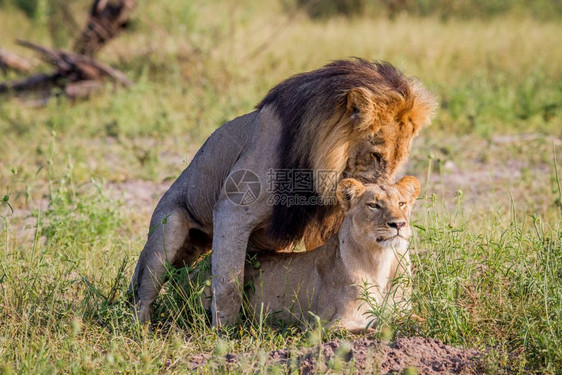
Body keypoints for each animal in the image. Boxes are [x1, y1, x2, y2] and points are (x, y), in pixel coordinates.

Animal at [129, 58, 436, 326]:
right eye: (375, 155)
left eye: (399, 160)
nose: (384, 191)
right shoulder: (232, 209)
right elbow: (228, 283)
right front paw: (224, 332)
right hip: (169, 228)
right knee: (144, 289)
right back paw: (141, 326)